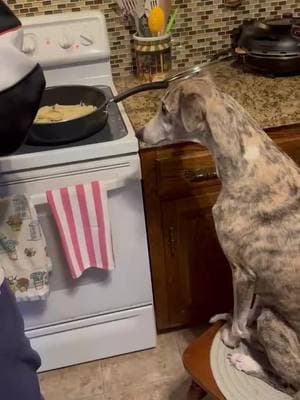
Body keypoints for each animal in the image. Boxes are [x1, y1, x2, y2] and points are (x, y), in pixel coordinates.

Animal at [138, 73, 300, 398]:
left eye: (164, 109)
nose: (138, 132)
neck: (247, 164)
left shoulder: (242, 272)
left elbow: (239, 319)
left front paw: (232, 339)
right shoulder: (256, 284)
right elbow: (244, 313)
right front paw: (234, 322)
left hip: (275, 324)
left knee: (292, 386)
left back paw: (245, 360)